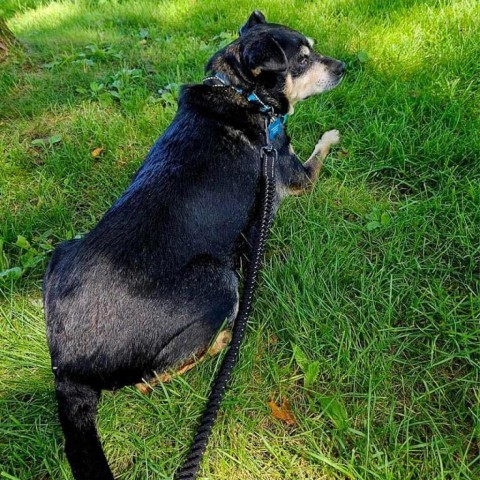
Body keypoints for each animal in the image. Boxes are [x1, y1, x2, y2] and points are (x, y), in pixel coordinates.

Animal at [43, 12, 344, 480]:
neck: (241, 91)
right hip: (221, 282)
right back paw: (221, 343)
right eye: (302, 60)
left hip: (59, 253)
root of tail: (66, 365)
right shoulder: (291, 174)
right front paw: (332, 133)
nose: (345, 67)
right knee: (150, 379)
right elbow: (320, 148)